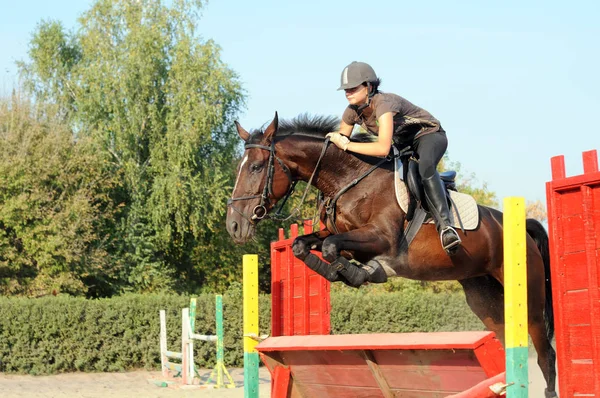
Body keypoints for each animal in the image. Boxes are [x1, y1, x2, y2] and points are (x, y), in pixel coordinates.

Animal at [225, 111, 556, 394]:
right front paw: (345, 271)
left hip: (529, 296)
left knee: (545, 352)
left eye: (256, 167)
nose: (234, 226)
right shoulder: (336, 233)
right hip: (484, 297)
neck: (348, 179)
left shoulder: (382, 238)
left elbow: (334, 248)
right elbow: (303, 245)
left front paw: (362, 271)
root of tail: (521, 227)